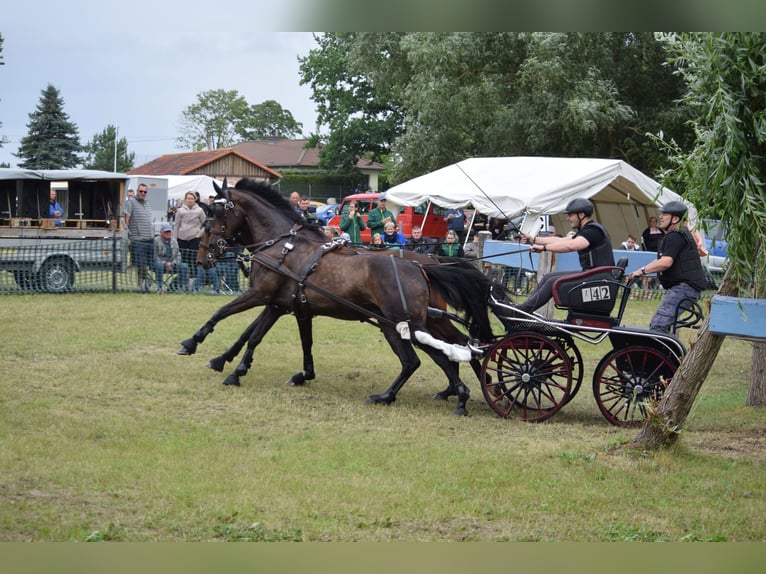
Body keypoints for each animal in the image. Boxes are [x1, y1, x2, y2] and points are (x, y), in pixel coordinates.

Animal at [177, 179, 496, 414]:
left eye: (217, 213)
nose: (204, 256)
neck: (283, 246)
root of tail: (421, 266)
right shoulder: (286, 305)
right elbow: (264, 336)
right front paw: (235, 365)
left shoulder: (260, 295)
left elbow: (226, 315)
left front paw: (194, 344)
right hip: (417, 322)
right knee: (452, 347)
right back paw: (462, 388)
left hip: (401, 324)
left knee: (422, 359)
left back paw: (409, 396)